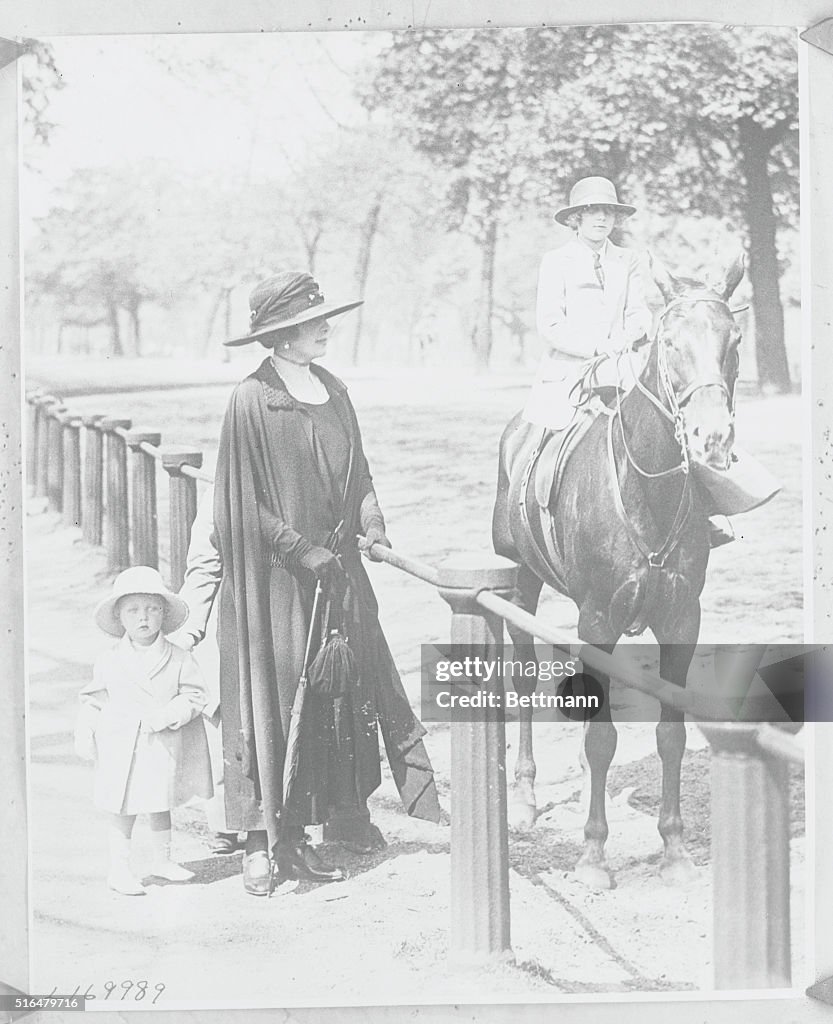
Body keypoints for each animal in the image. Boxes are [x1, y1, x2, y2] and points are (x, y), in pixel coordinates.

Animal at [489, 253, 745, 888]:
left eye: (734, 340)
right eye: (669, 342)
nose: (712, 437)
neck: (644, 488)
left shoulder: (682, 621)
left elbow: (670, 733)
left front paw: (674, 850)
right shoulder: (598, 621)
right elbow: (603, 738)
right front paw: (593, 854)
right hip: (522, 583)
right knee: (525, 681)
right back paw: (525, 799)